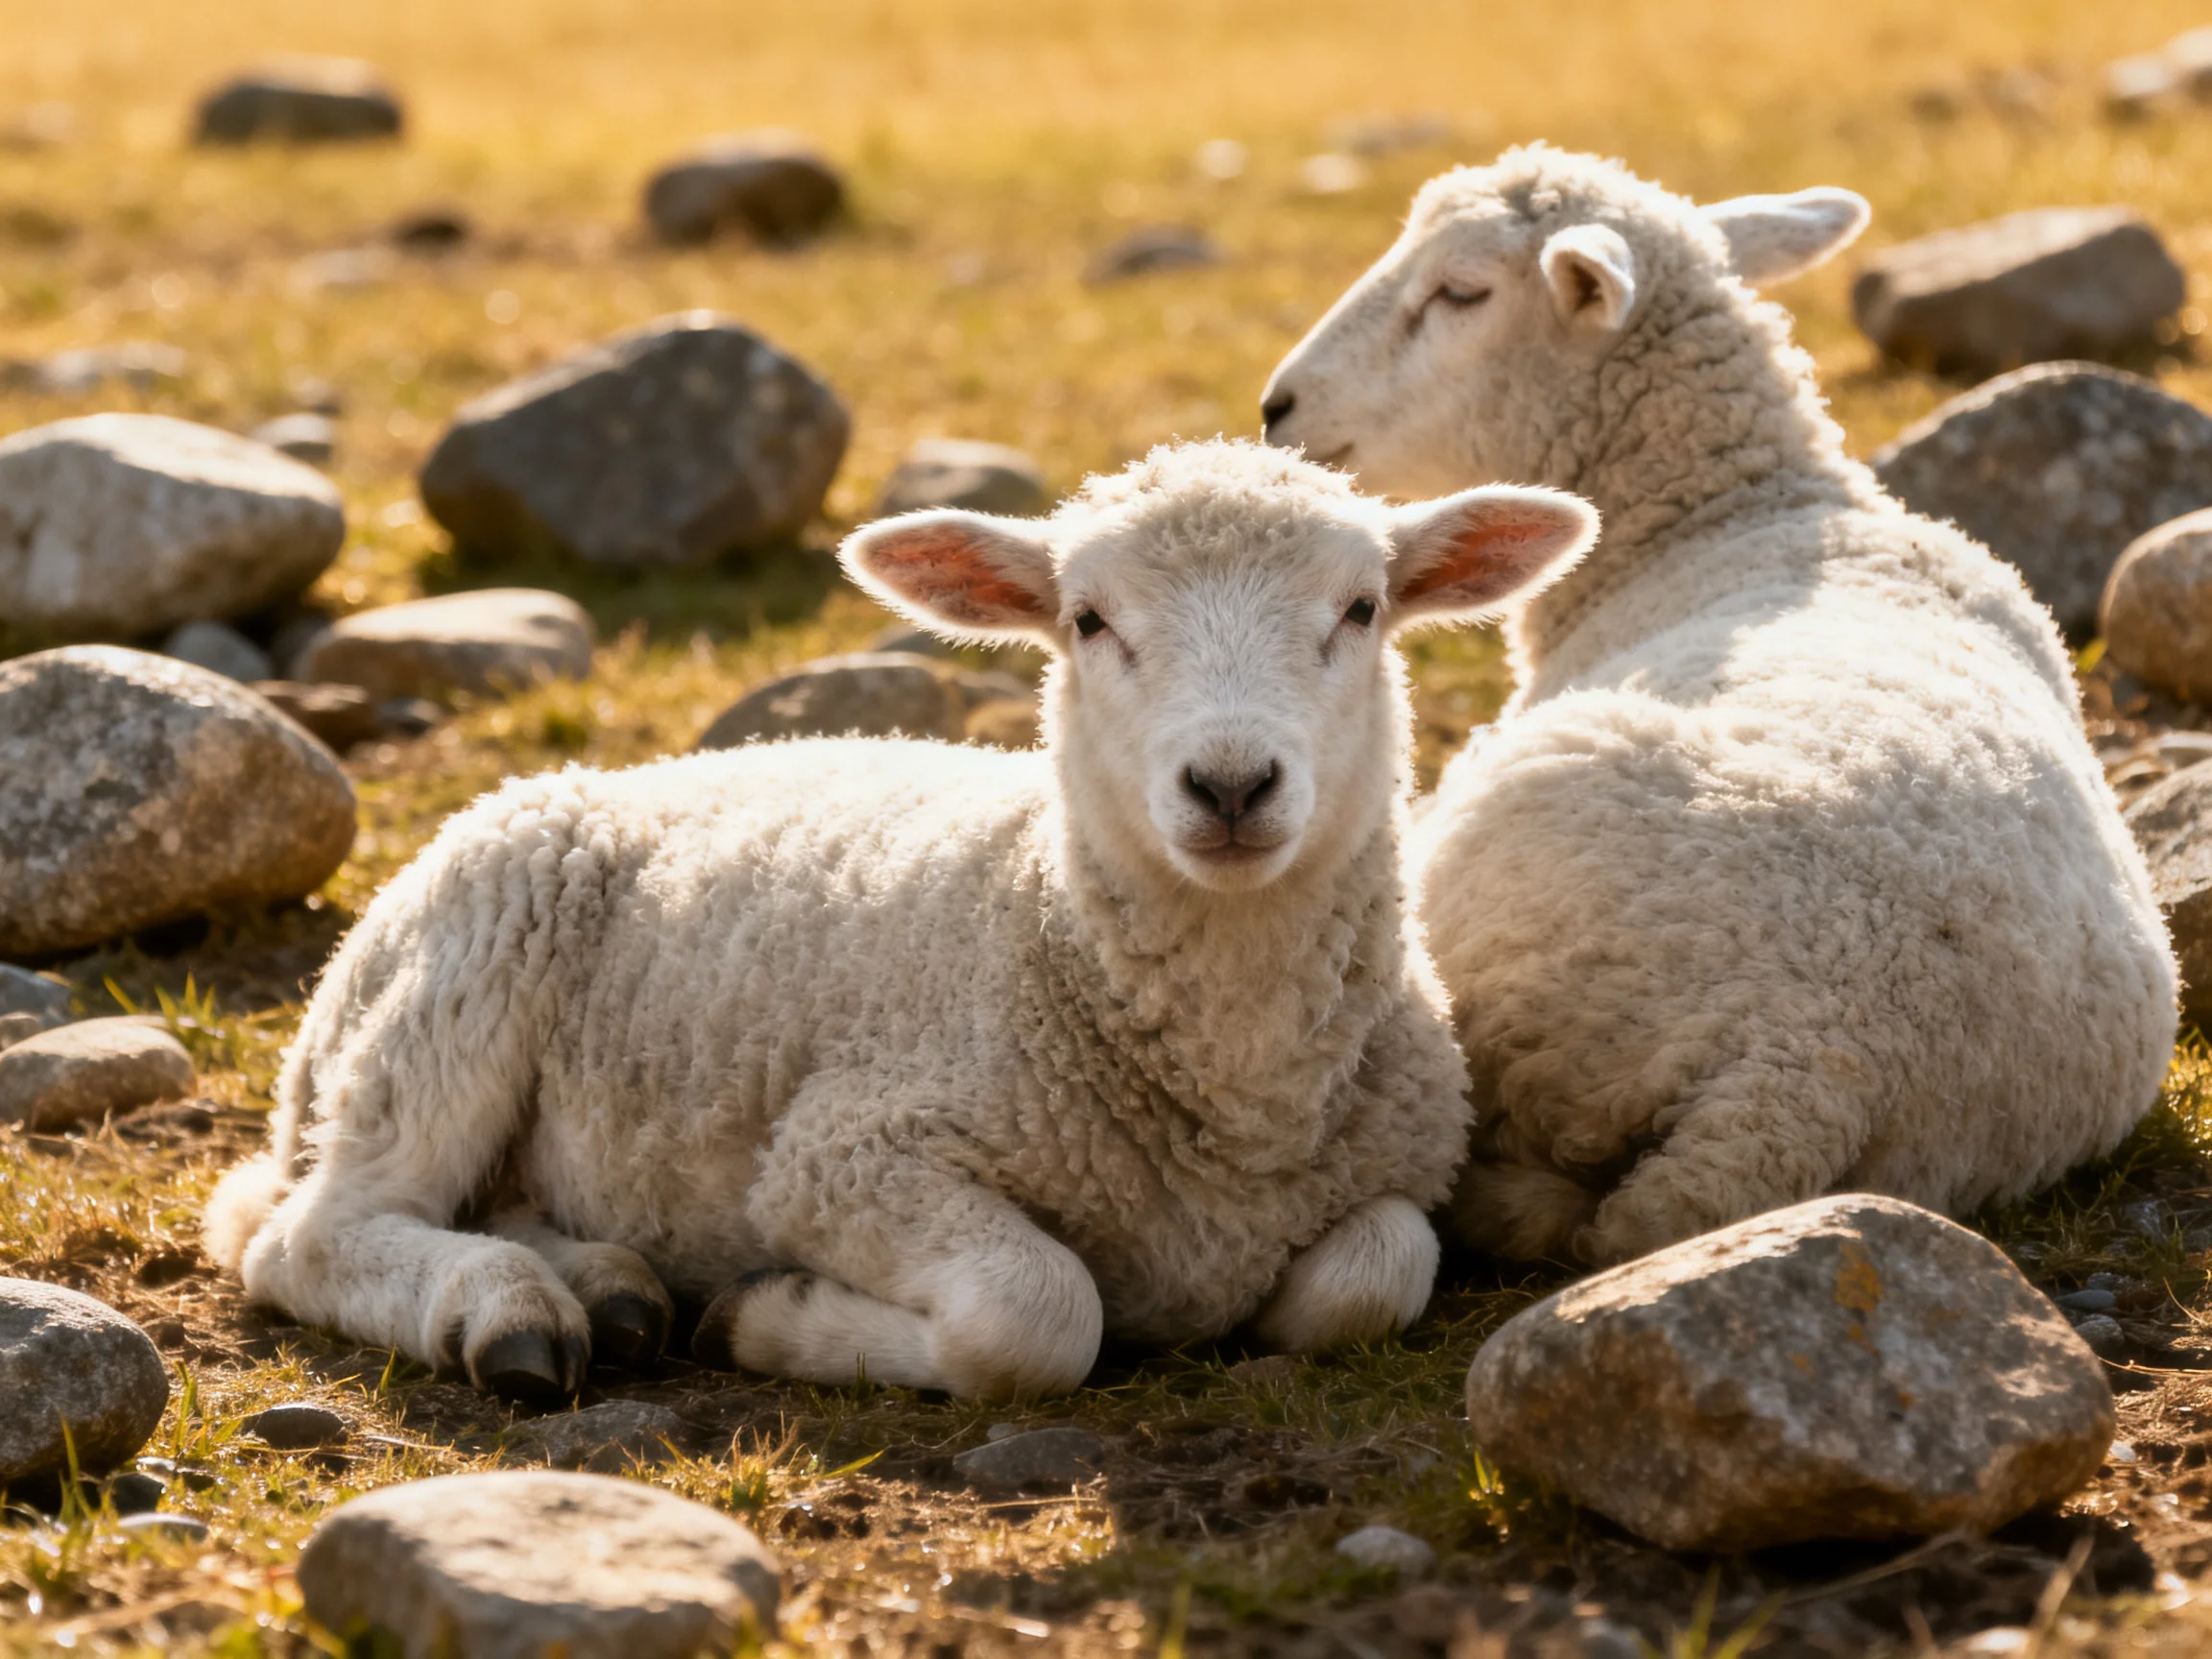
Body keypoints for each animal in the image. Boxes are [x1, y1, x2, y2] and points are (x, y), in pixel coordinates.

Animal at [203, 439, 1597, 1401]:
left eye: (1360, 609)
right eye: (1088, 620)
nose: (1232, 785)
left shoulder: (1406, 1168)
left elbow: (1376, 1276)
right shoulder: (845, 1152)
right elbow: (1039, 1316)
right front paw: (770, 1321)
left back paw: (608, 1286)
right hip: (461, 981)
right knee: (310, 1237)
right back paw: (511, 1313)